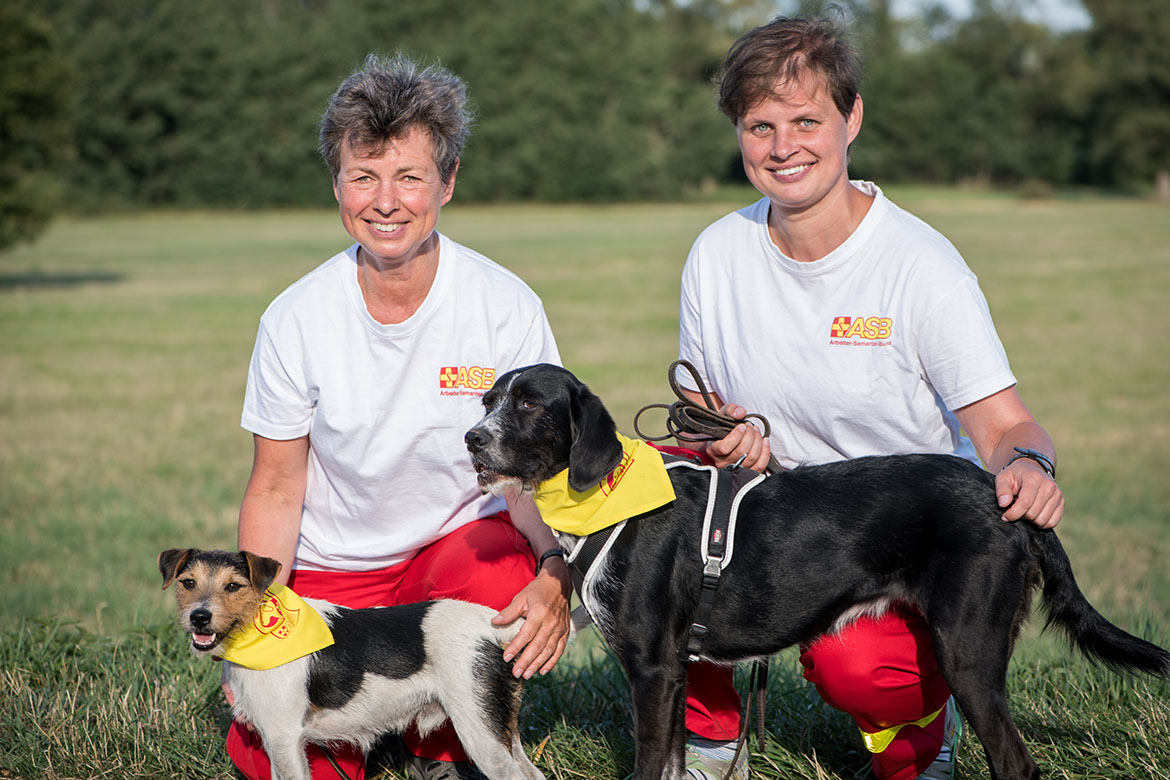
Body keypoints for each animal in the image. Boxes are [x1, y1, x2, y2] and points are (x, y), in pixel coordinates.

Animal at [157, 549, 545, 780]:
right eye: (187, 582)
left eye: (234, 586)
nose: (199, 617)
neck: (256, 634)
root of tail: (493, 625)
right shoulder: (273, 741)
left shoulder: (283, 738)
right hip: (498, 725)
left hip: (479, 730)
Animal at [460, 364, 1165, 780]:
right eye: (489, 399)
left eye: (529, 404)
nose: (471, 437)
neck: (605, 498)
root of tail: (1002, 494)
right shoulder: (675, 671)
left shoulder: (655, 670)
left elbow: (649, 767)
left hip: (968, 651)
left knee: (1015, 762)